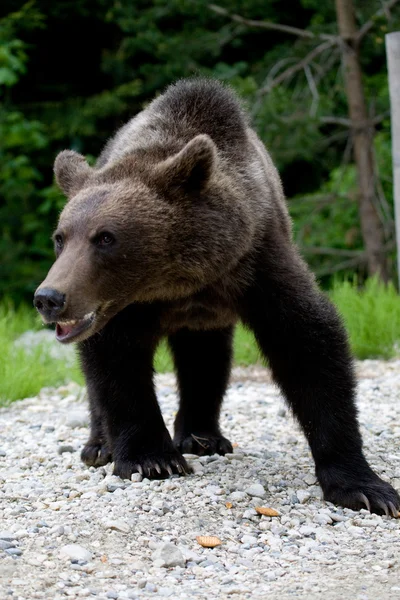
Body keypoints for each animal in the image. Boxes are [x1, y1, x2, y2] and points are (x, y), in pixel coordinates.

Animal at [34, 78, 400, 516]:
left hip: (207, 321)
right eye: (60, 237)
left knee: (205, 360)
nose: (49, 297)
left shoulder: (256, 262)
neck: (183, 279)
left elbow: (309, 347)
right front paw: (151, 458)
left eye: (106, 237)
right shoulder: (123, 307)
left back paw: (202, 436)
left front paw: (366, 488)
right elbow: (117, 364)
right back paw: (99, 446)